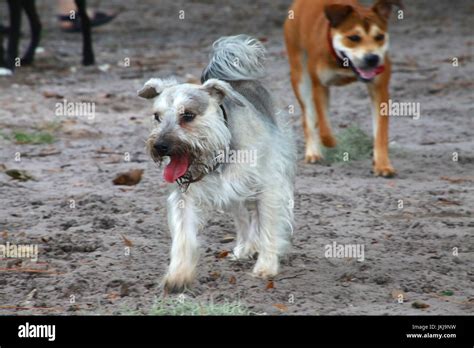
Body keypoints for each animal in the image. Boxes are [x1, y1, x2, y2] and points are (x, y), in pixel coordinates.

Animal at [135, 35, 296, 292]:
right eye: (157, 117)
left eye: (188, 115)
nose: (160, 146)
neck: (220, 151)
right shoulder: (186, 196)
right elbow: (183, 236)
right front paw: (178, 275)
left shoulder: (269, 187)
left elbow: (268, 225)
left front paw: (266, 265)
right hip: (233, 196)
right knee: (243, 219)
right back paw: (245, 247)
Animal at [286, 0, 404, 175]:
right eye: (353, 38)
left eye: (380, 37)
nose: (372, 58)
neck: (345, 65)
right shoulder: (319, 86)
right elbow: (323, 125)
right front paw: (331, 141)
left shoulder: (379, 90)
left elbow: (380, 133)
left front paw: (383, 165)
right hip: (300, 76)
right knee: (309, 118)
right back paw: (313, 152)